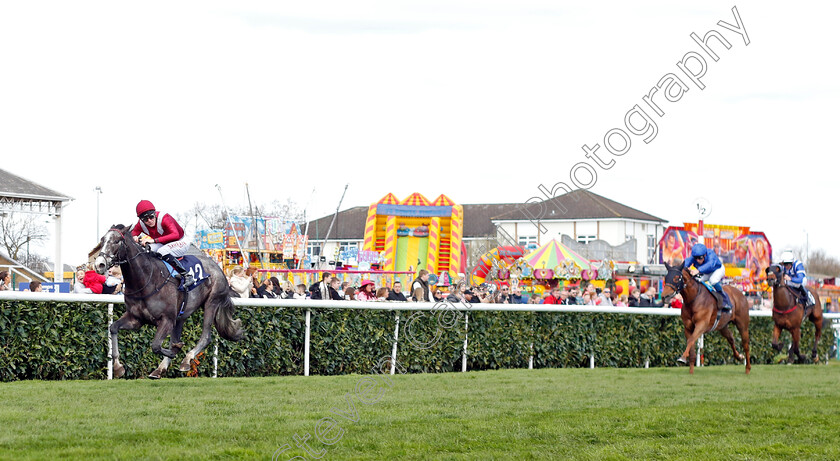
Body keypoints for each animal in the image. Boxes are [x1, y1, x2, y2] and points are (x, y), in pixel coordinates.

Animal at [94, 225, 243, 380]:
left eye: (117, 241)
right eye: (102, 240)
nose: (99, 264)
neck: (147, 279)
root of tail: (218, 268)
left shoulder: (167, 319)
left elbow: (156, 346)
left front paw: (176, 350)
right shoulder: (136, 319)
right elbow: (113, 328)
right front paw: (118, 367)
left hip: (212, 302)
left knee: (206, 336)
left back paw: (186, 360)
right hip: (181, 315)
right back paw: (159, 369)